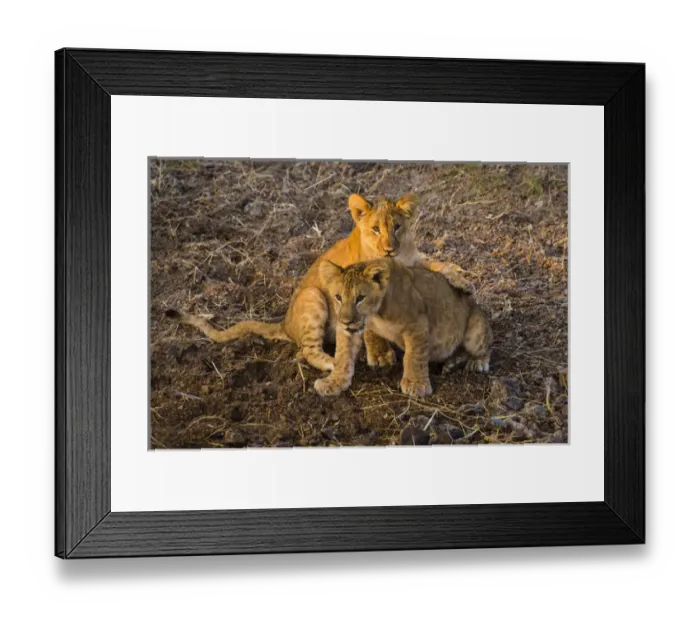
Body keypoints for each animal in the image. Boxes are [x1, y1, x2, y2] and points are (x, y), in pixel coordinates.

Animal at [167, 194, 474, 372]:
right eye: (375, 229)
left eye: (396, 227)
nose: (389, 249)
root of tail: (284, 324)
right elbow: (371, 327)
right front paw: (381, 355)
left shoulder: (412, 261)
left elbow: (436, 262)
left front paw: (462, 278)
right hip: (313, 296)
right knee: (307, 350)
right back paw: (334, 362)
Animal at [314, 257, 492, 397]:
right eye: (338, 297)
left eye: (360, 298)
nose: (346, 321)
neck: (375, 314)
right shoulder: (350, 330)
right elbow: (342, 356)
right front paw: (333, 382)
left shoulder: (418, 323)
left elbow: (413, 356)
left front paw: (416, 385)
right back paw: (452, 364)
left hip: (475, 328)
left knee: (484, 347)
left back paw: (475, 363)